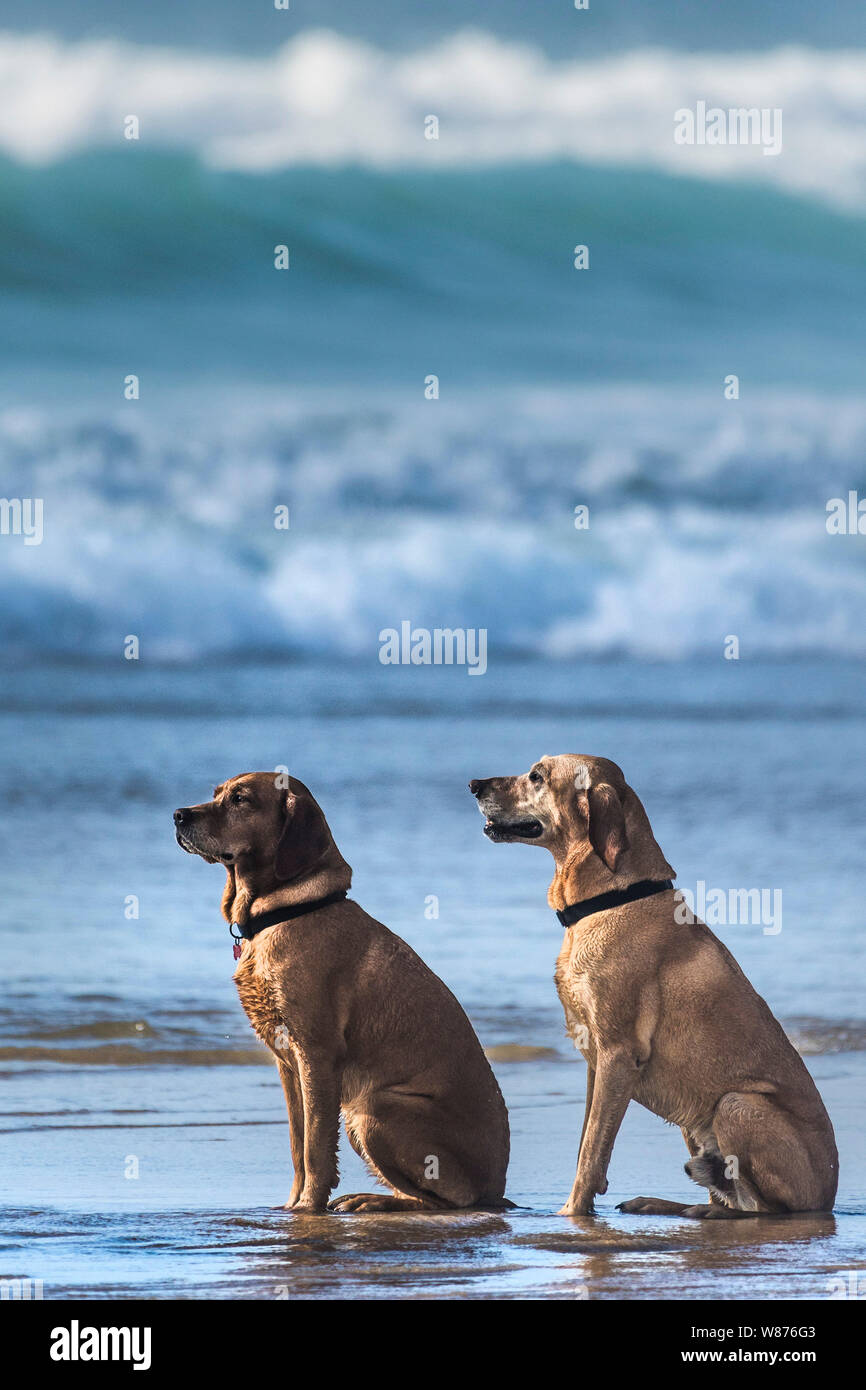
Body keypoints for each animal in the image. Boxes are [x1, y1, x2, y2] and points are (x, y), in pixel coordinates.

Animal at [173, 778, 511, 1212]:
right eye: (216, 792)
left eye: (240, 799)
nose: (178, 815)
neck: (291, 909)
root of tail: (496, 1188)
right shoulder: (287, 1065)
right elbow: (297, 1145)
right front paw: (292, 1203)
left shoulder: (317, 1054)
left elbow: (316, 1147)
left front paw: (307, 1209)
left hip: (374, 1108)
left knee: (440, 1201)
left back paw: (375, 1202)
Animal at [469, 756, 839, 1223]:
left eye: (537, 776)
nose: (473, 785)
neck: (617, 896)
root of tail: (828, 1199)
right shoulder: (595, 1060)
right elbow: (586, 1140)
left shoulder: (617, 1054)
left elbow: (592, 1150)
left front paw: (571, 1212)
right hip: (694, 1123)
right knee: (724, 1193)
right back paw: (665, 1205)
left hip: (735, 1104)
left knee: (762, 1209)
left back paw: (704, 1213)